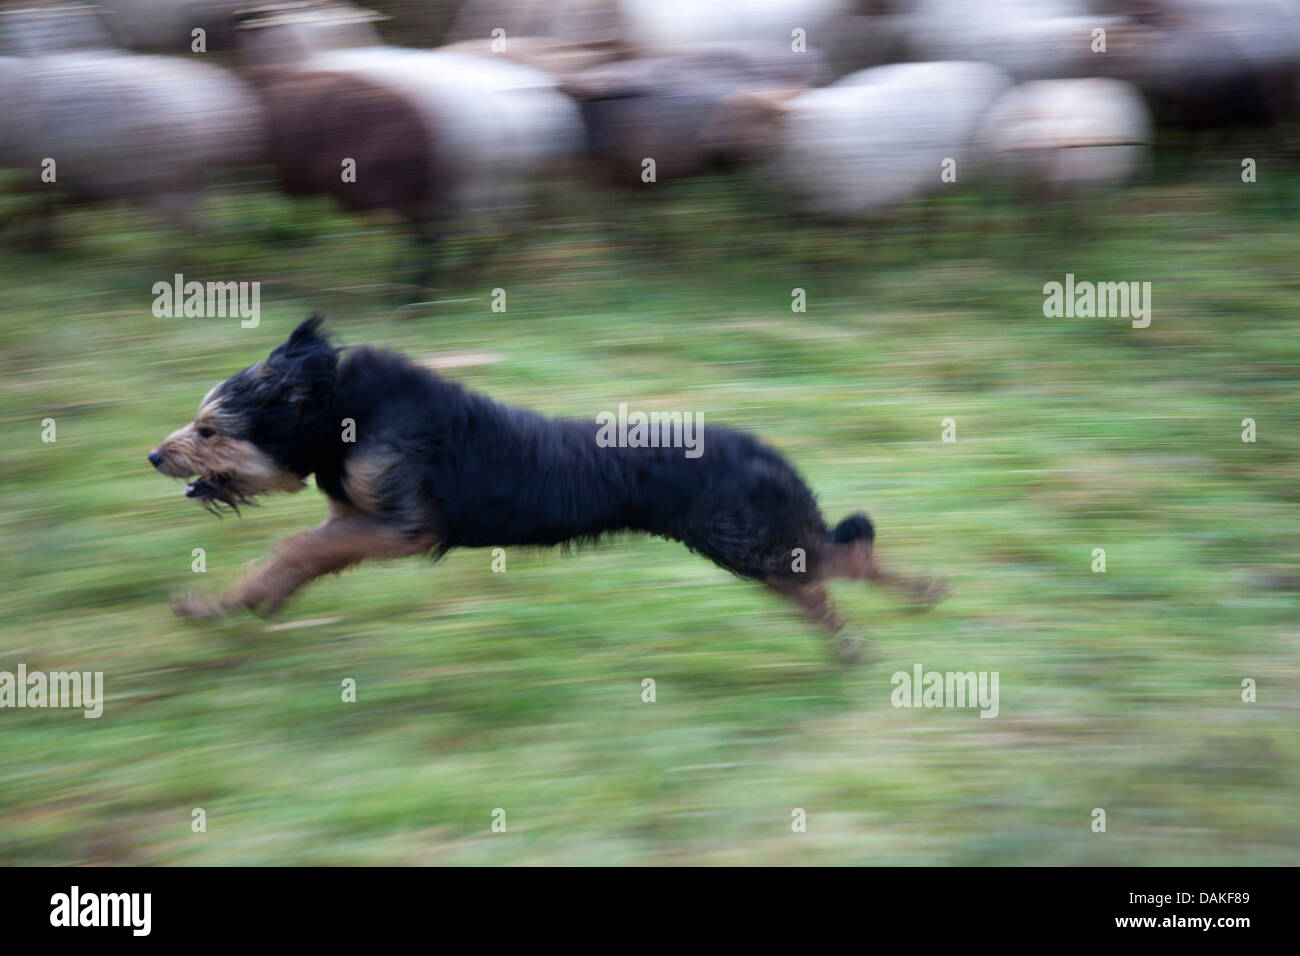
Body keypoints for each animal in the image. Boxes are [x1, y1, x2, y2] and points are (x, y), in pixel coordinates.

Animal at [152, 316, 946, 658]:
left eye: (211, 430)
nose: (156, 455)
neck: (340, 408)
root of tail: (769, 453)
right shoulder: (361, 518)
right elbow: (295, 556)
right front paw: (236, 602)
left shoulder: (406, 526)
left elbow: (294, 547)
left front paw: (237, 599)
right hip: (754, 547)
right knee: (816, 579)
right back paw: (849, 638)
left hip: (744, 540)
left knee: (844, 555)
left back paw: (917, 595)